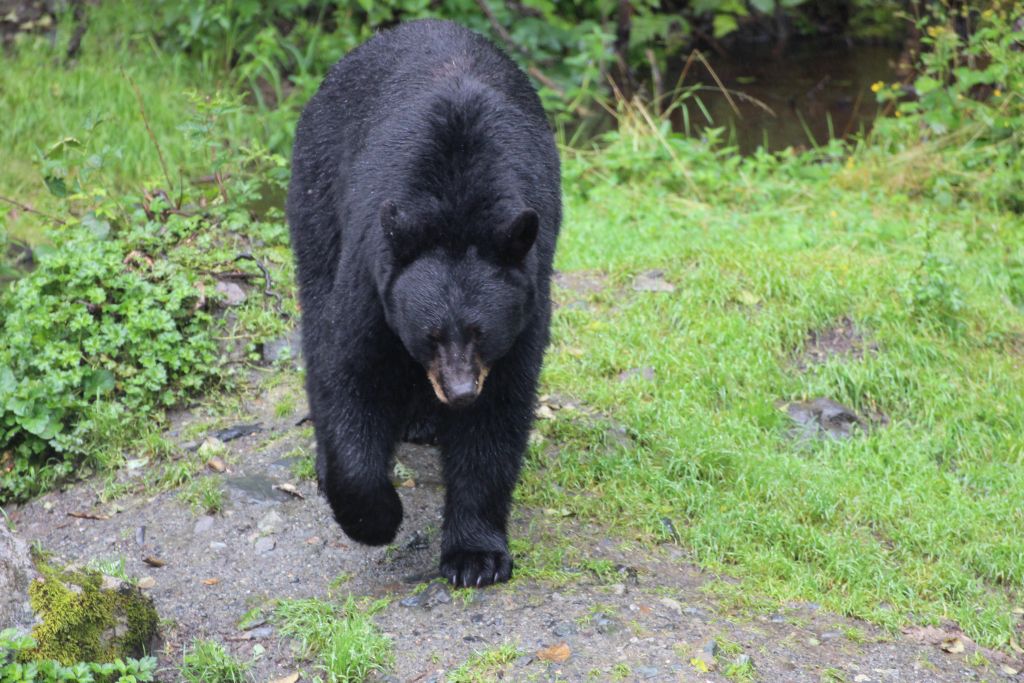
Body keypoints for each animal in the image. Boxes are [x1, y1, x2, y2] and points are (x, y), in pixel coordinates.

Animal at [286, 19, 561, 588]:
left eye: (481, 332)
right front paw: (376, 516)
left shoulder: (527, 301)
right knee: (317, 306)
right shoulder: (374, 272)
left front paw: (475, 556)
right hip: (318, 190)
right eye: (430, 334)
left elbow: (499, 414)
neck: (459, 204)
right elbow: (350, 368)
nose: (458, 392)